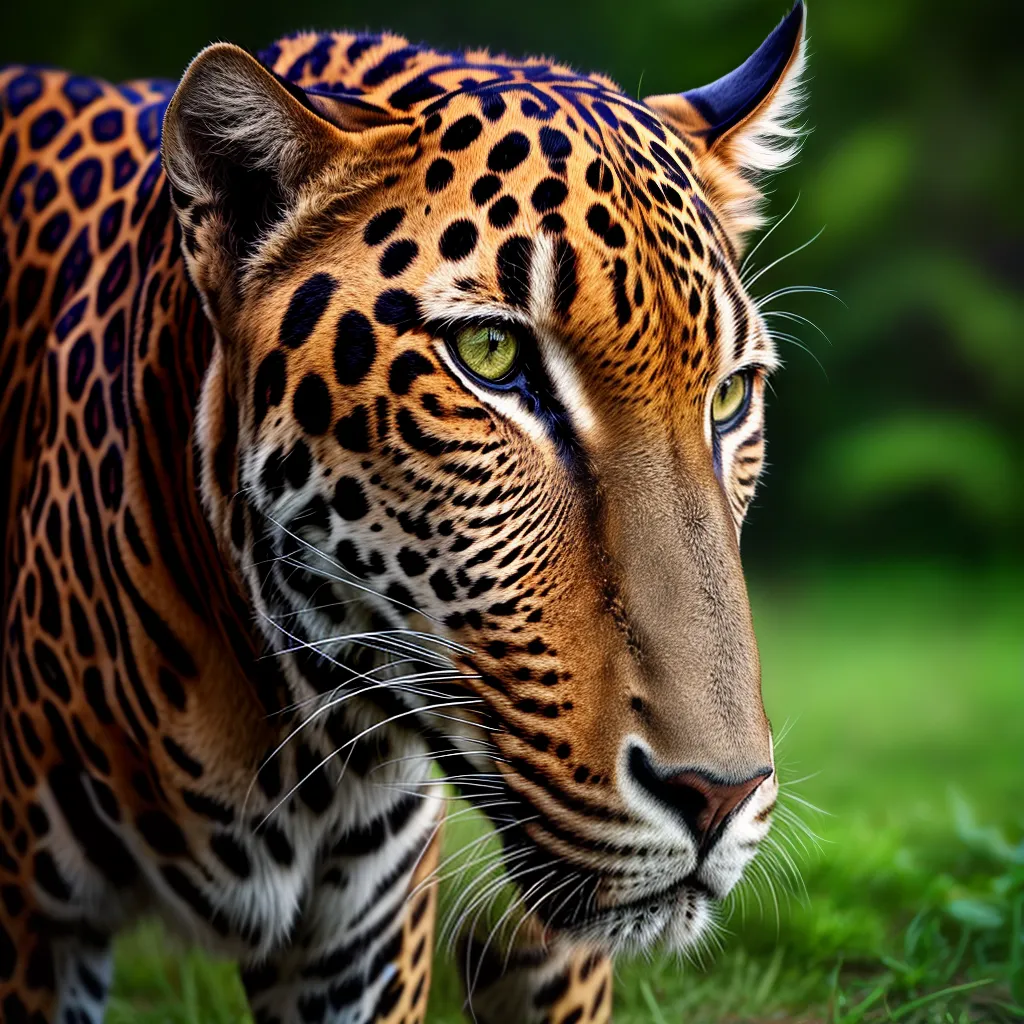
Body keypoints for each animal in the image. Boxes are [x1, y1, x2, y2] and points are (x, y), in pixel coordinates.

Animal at [0, 3, 808, 1021]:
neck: (292, 737)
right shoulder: (34, 930)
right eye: (493, 355)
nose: (718, 797)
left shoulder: (360, 942)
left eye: (729, 396)